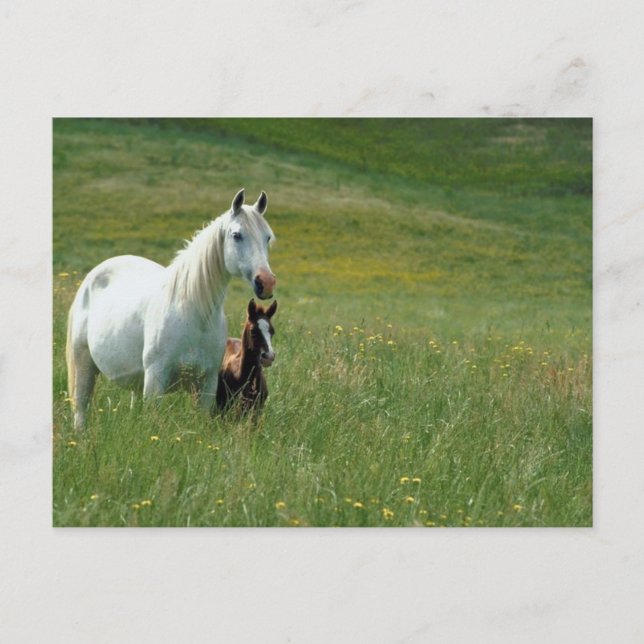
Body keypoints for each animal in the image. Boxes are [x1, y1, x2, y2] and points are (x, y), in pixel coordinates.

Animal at [65, 188, 276, 431]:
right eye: (237, 235)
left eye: (267, 237)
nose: (266, 282)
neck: (194, 314)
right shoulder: (155, 381)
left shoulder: (207, 384)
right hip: (83, 364)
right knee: (81, 409)